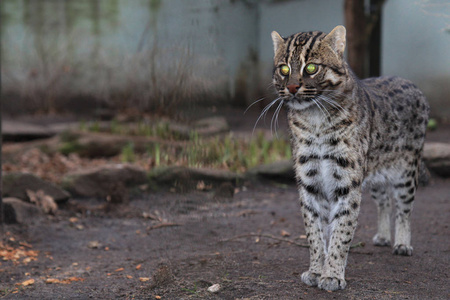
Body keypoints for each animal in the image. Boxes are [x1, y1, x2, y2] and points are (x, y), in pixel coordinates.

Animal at [268, 26, 428, 290]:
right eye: (283, 69)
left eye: (311, 68)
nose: (291, 87)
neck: (315, 121)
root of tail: (410, 82)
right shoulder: (310, 181)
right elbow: (314, 232)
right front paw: (316, 270)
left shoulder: (347, 182)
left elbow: (341, 231)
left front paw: (332, 275)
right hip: (374, 172)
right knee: (384, 200)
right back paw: (383, 235)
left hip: (406, 172)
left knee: (404, 207)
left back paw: (402, 243)